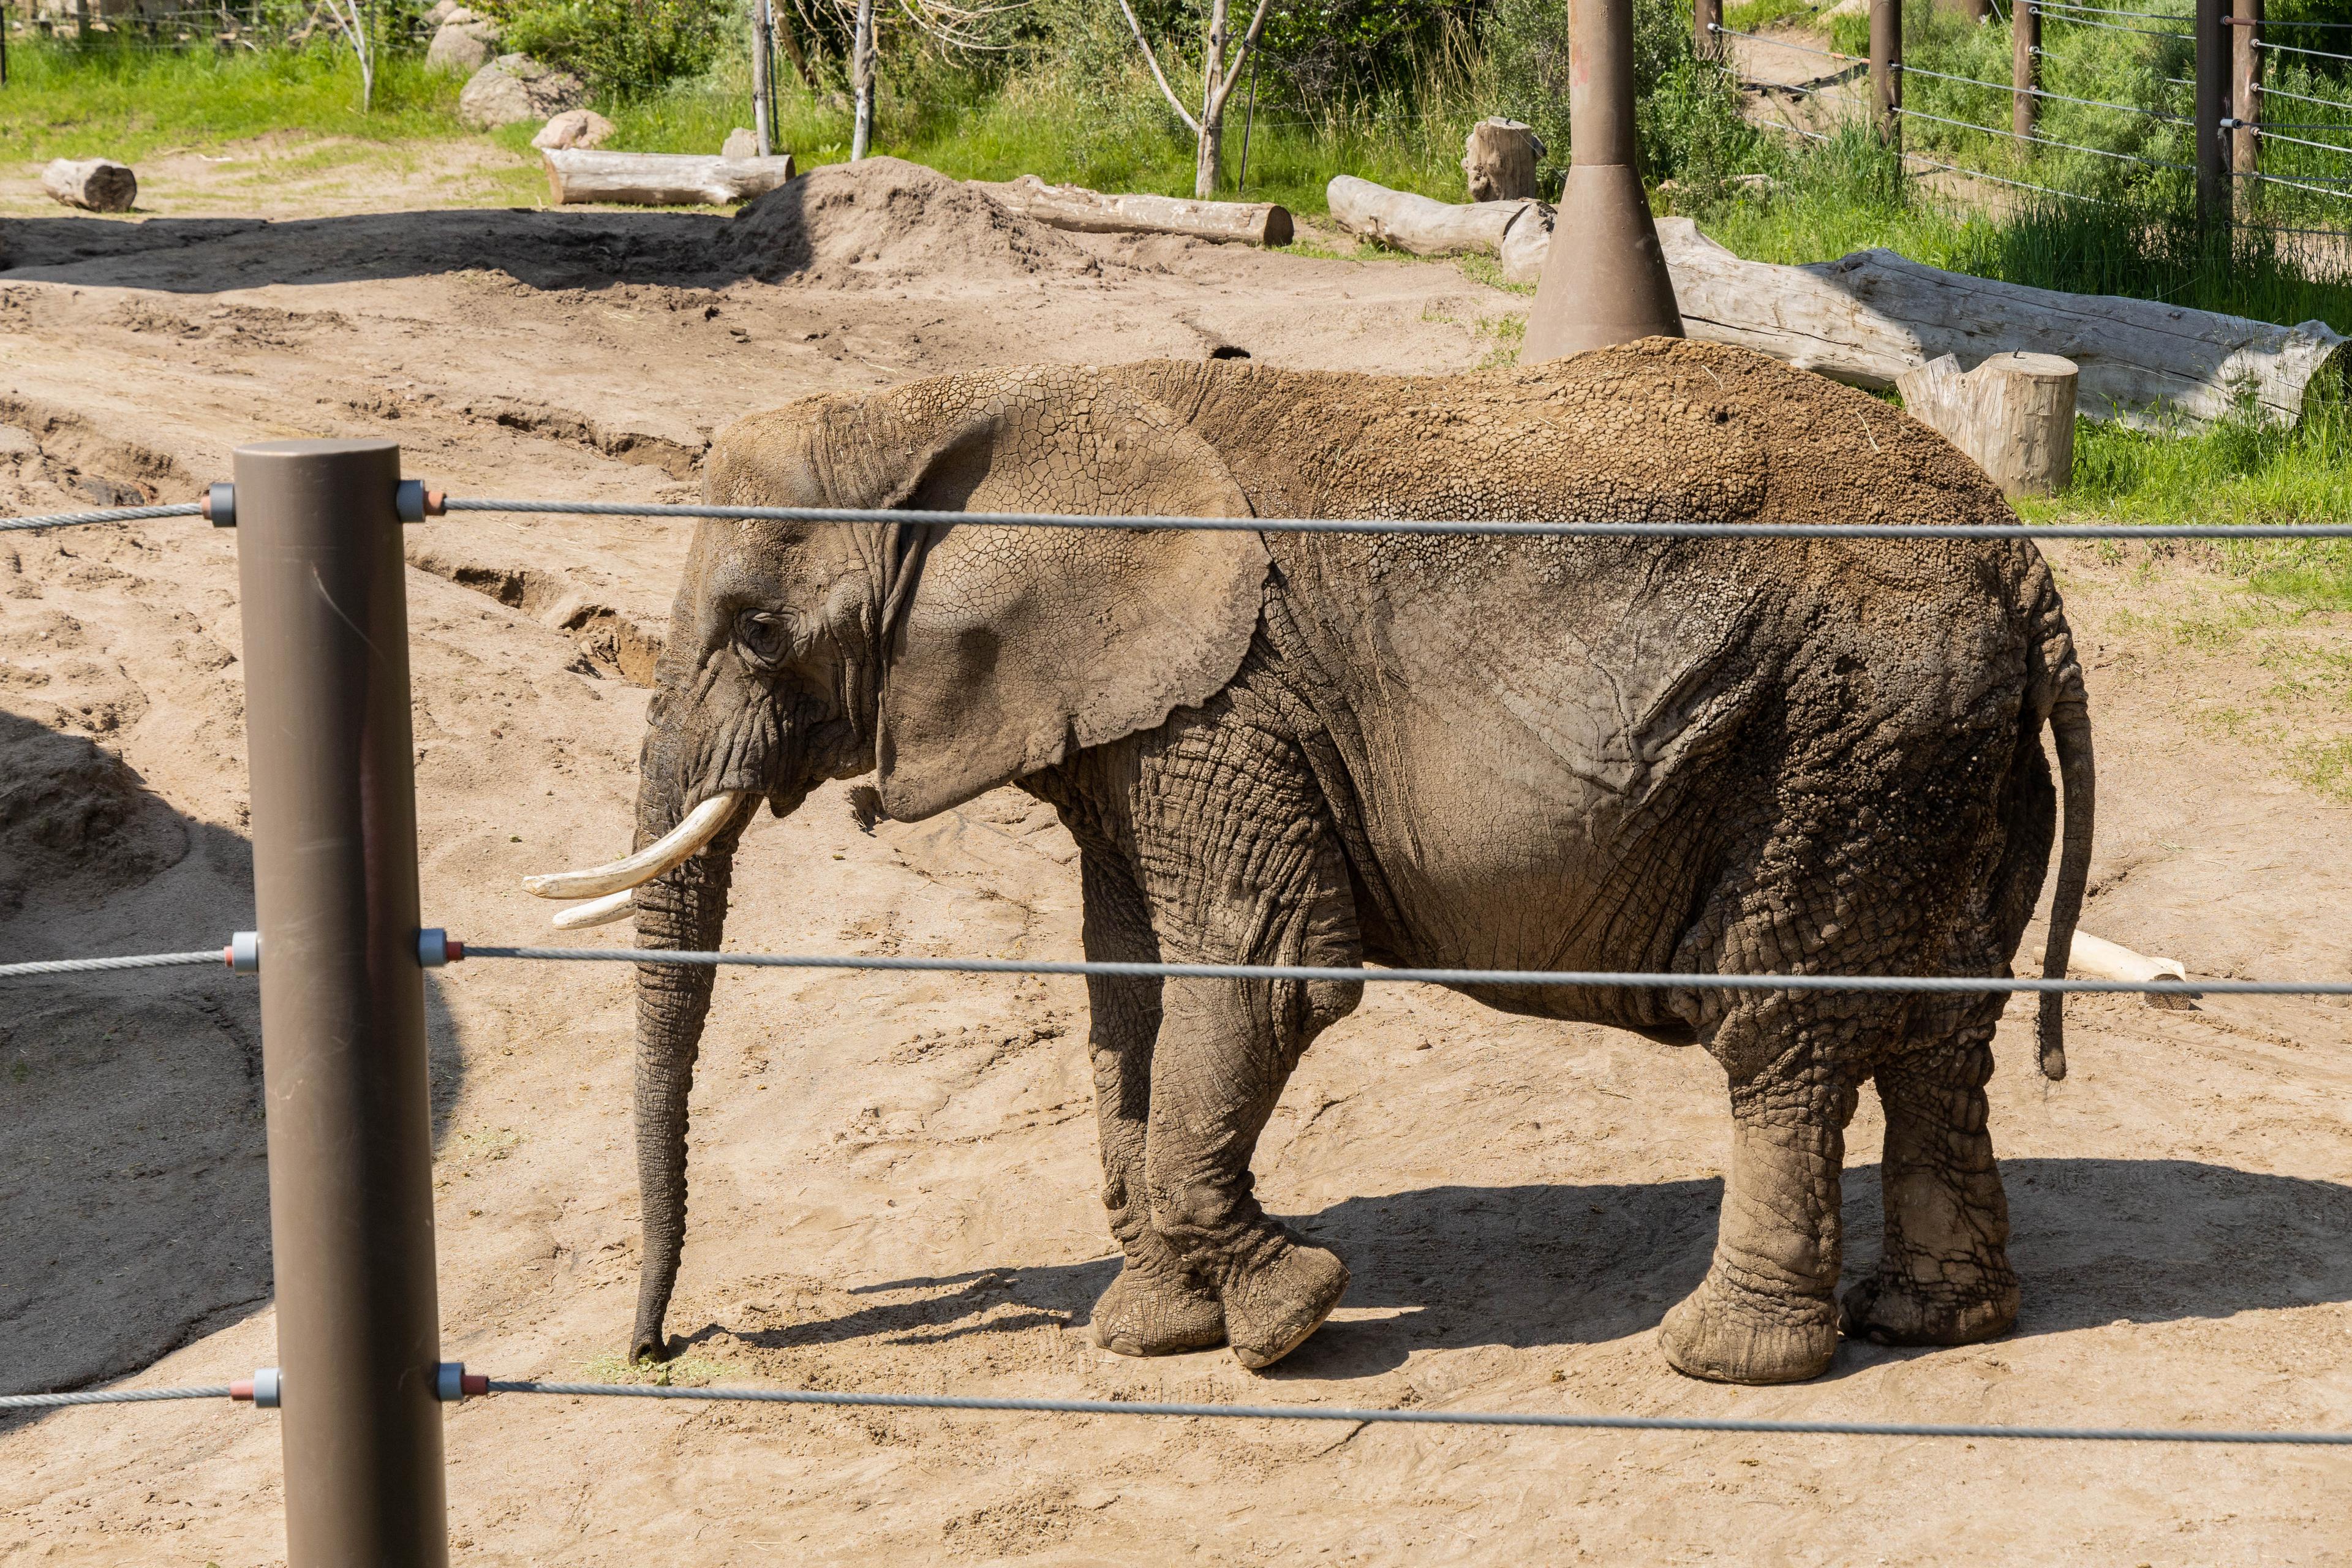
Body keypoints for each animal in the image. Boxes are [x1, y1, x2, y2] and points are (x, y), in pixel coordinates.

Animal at [529, 341, 2098, 1382]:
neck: (963, 402)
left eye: (757, 631)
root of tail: (2020, 555)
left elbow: (1263, 966)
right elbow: (1130, 985)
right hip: (1945, 741)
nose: (660, 1346)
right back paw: (1934, 1320)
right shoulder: (1141, 720)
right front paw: (1156, 1324)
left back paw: (1723, 1355)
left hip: (1848, 724)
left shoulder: (1229, 700)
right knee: (1938, 1027)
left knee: (1781, 1020)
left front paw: (1278, 1319)